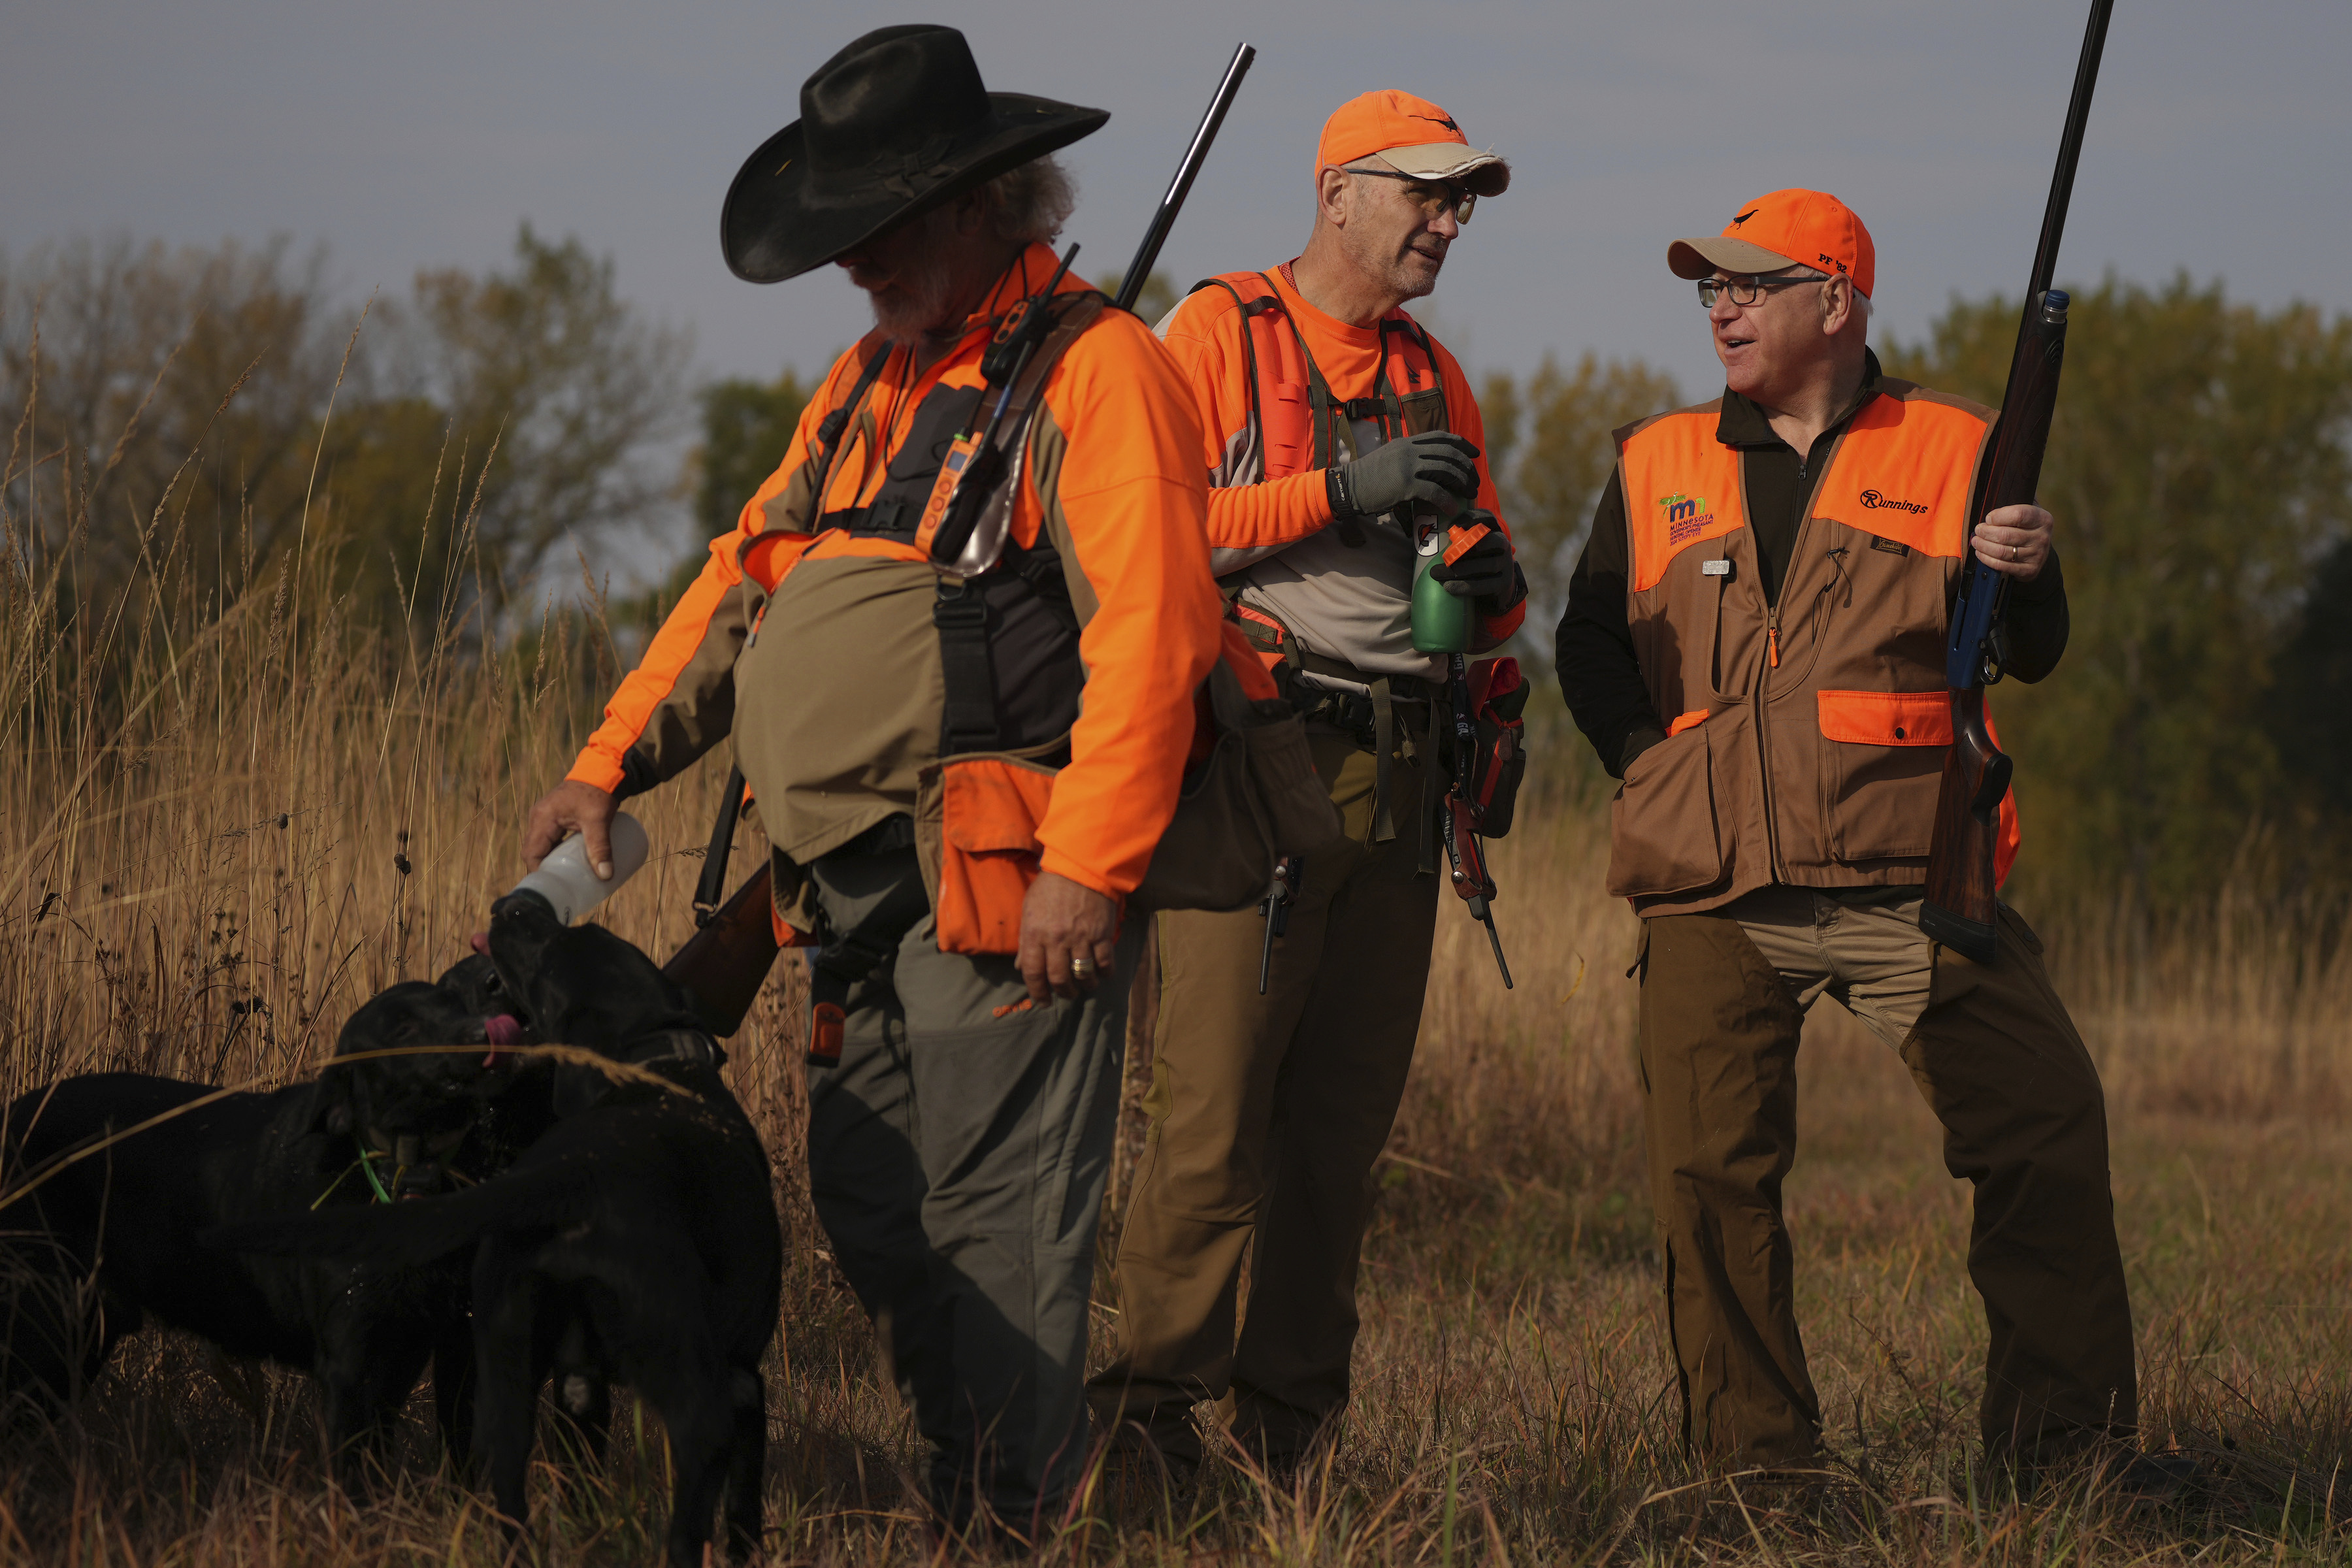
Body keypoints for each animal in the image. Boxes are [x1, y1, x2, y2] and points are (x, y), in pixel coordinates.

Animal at [0, 959, 534, 1476]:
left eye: (456, 1004)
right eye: (404, 1028)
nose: (488, 1033)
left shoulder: (459, 1345)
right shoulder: (353, 1363)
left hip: (80, 1333)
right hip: (43, 1319)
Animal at [212, 893, 781, 1568]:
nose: (517, 903)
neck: (656, 1063)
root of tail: (573, 1179)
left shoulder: (551, 1373)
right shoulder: (745, 1379)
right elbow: (745, 1501)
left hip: (506, 1370)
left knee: (505, 1483)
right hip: (684, 1376)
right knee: (692, 1489)